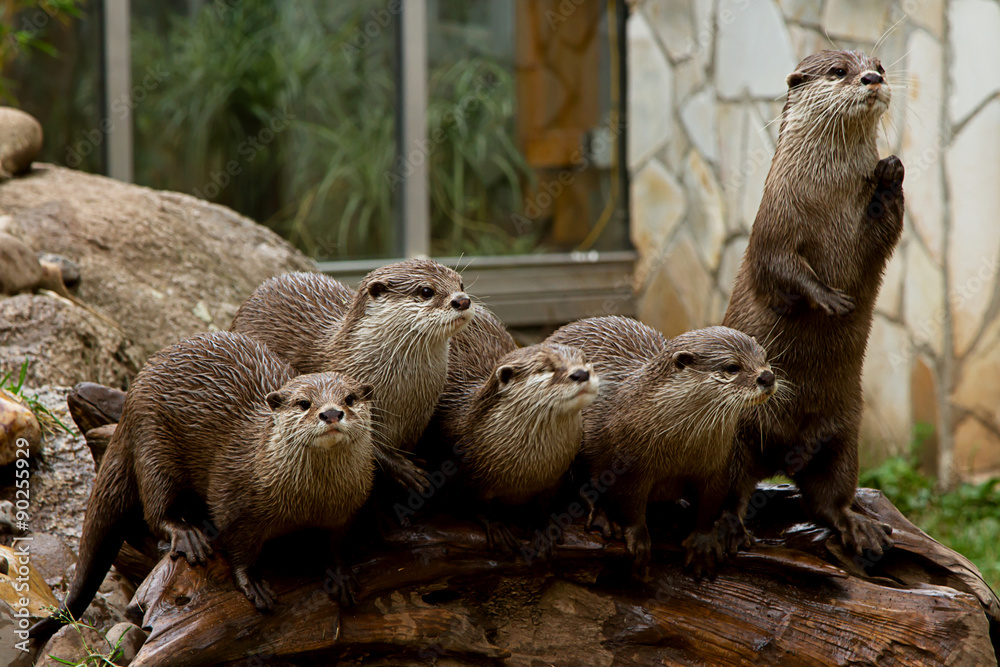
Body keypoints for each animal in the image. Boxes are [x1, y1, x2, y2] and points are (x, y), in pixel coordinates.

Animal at [30, 332, 375, 639]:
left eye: (350, 398)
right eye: (304, 403)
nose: (331, 413)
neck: (309, 501)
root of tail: (133, 391)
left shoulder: (347, 509)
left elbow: (337, 543)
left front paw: (342, 576)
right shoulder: (232, 494)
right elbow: (237, 545)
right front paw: (252, 584)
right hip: (152, 443)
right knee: (155, 507)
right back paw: (187, 534)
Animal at [426, 308, 598, 552]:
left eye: (585, 360)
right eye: (546, 368)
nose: (581, 374)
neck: (527, 471)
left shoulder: (555, 478)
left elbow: (544, 506)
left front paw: (544, 528)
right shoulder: (462, 474)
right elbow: (474, 505)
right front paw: (497, 527)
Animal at [547, 317, 777, 575]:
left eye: (765, 357)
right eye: (732, 367)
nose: (767, 377)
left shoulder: (718, 465)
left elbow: (711, 504)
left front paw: (703, 544)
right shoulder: (628, 466)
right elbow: (630, 505)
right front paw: (638, 541)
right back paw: (602, 516)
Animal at [722, 50, 903, 558]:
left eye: (878, 64)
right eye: (839, 71)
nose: (873, 77)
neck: (828, 199)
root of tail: (784, 455)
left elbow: (886, 232)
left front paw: (892, 169)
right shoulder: (774, 221)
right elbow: (778, 267)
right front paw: (830, 299)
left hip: (845, 429)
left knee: (828, 497)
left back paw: (859, 527)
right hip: (734, 433)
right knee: (729, 489)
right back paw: (729, 531)